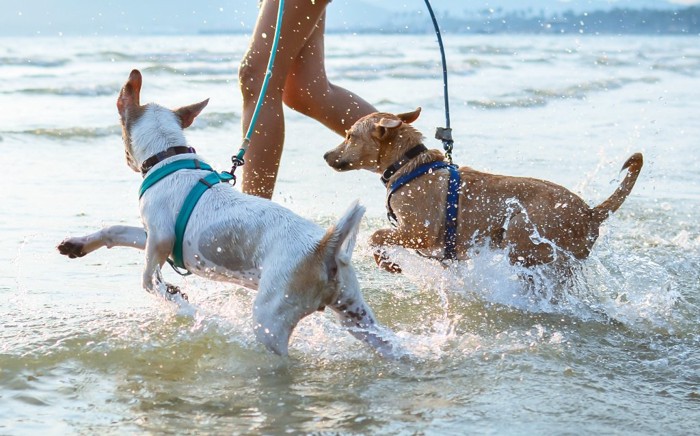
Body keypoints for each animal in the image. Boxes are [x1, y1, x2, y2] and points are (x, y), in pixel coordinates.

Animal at [58, 70, 400, 358]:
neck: (169, 157)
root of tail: (325, 247)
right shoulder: (152, 235)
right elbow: (116, 231)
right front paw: (78, 244)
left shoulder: (160, 238)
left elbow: (148, 278)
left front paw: (174, 297)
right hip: (356, 315)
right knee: (390, 344)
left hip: (271, 318)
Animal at [322, 107, 640, 270]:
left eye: (349, 136)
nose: (325, 155)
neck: (408, 166)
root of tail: (590, 213)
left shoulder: (419, 232)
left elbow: (376, 236)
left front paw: (387, 263)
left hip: (522, 234)